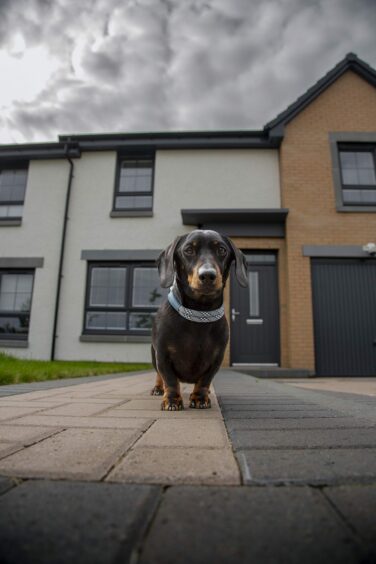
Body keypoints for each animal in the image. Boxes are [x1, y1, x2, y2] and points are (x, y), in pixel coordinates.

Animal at [151, 229, 248, 410]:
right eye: (188, 250)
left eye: (222, 250)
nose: (208, 275)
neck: (198, 312)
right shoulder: (163, 355)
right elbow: (170, 379)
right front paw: (172, 400)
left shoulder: (216, 358)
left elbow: (204, 381)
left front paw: (200, 398)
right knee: (159, 375)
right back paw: (158, 389)